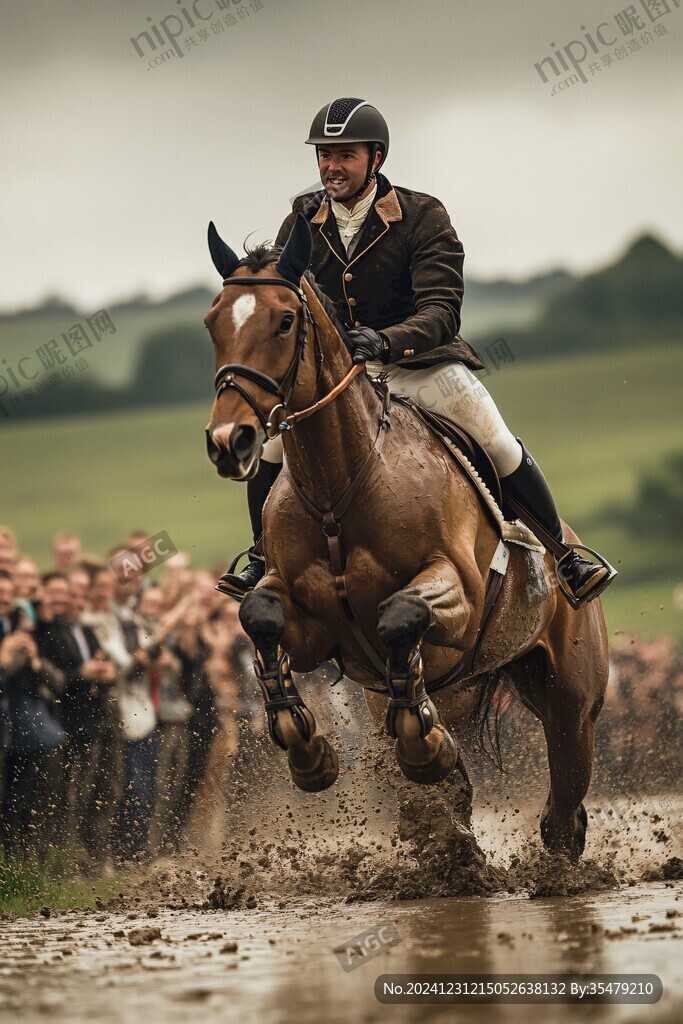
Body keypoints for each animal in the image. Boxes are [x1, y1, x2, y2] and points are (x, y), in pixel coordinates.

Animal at [202, 216, 610, 864]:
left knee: (565, 805)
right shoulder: (314, 627)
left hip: (571, 701)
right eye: (213, 322)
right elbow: (260, 617)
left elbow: (399, 614)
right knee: (451, 783)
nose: (228, 442)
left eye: (285, 321)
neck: (339, 488)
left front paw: (423, 748)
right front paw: (308, 749)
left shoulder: (458, 595)